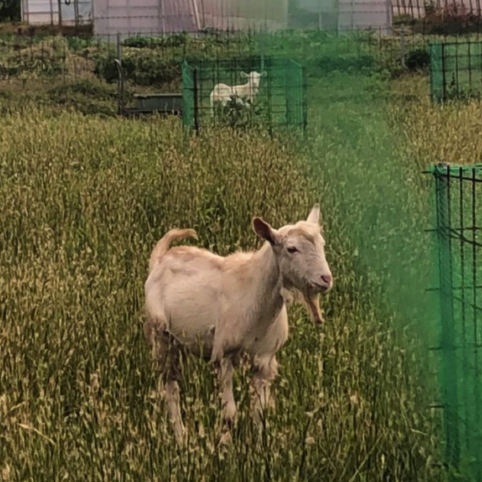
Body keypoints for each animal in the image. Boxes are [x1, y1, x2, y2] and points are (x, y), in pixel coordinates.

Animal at [143, 204, 332, 444]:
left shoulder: (264, 360)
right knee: (170, 388)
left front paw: (261, 448)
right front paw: (226, 448)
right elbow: (230, 413)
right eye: (292, 249)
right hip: (161, 336)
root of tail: (159, 260)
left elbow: (261, 412)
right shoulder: (224, 355)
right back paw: (180, 437)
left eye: (322, 244)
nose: (326, 279)